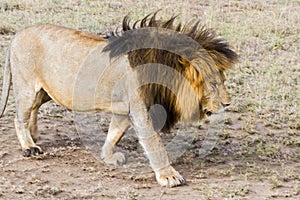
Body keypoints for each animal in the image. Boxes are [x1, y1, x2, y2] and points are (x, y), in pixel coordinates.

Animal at [0, 12, 237, 188]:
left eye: (223, 81)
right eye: (213, 84)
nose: (227, 103)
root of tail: (17, 34)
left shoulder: (125, 110)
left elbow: (114, 133)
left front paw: (108, 156)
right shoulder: (141, 111)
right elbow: (155, 144)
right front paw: (168, 176)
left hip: (45, 92)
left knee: (33, 109)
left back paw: (34, 134)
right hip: (27, 87)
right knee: (18, 117)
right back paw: (29, 146)